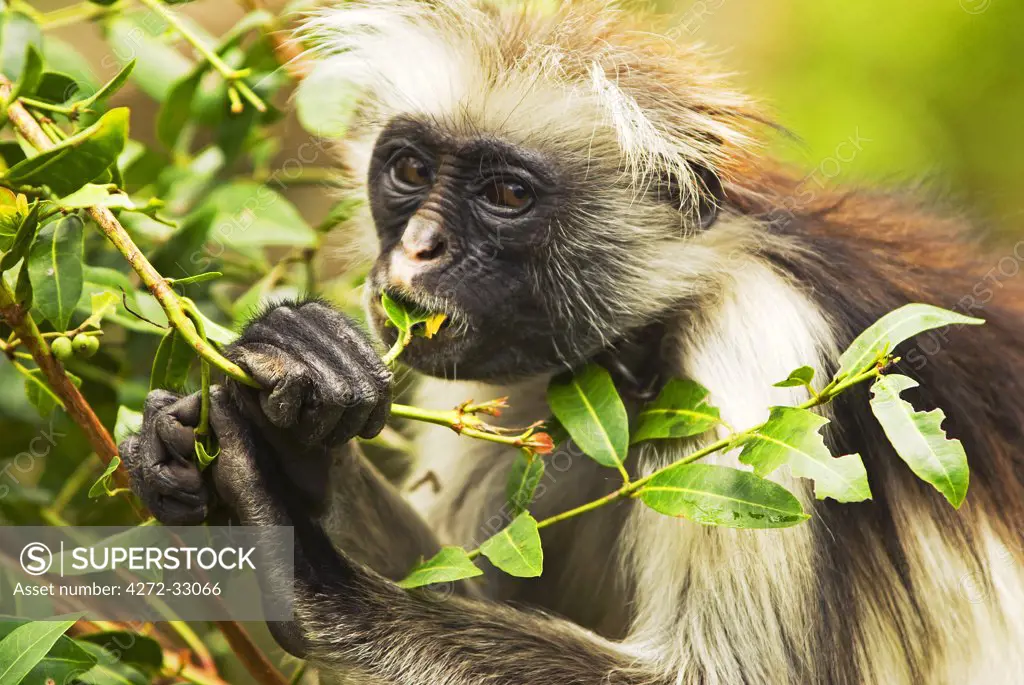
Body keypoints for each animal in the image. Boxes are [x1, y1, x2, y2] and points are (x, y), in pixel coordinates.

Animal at [123, 2, 1024, 679]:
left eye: (507, 194)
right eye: (409, 172)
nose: (416, 249)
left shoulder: (761, 350)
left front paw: (298, 557)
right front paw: (285, 416)